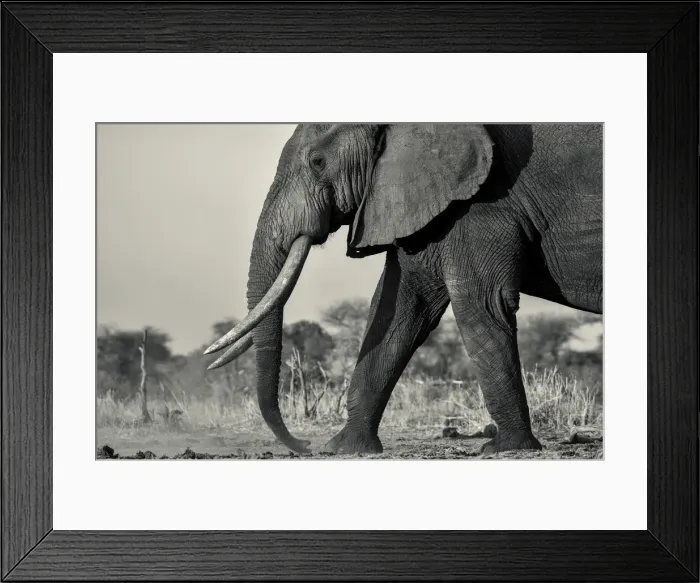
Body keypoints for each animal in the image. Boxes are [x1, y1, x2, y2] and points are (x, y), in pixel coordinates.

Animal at [204, 124, 603, 456]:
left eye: (317, 162)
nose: (303, 445)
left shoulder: (485, 205)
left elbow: (482, 304)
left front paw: (506, 449)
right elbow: (399, 311)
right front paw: (344, 449)